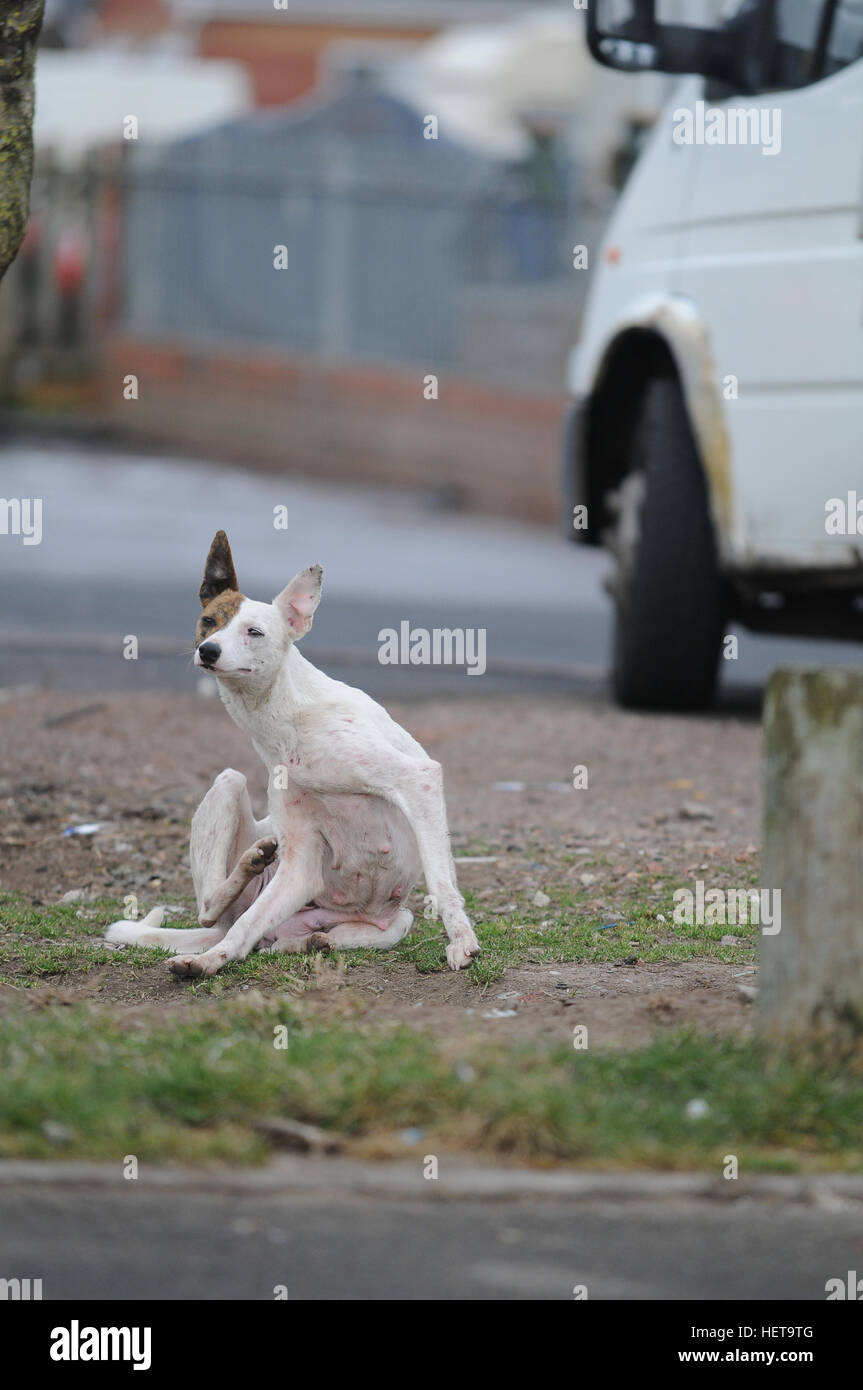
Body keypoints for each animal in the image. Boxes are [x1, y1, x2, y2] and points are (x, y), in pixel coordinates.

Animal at [104, 530, 480, 978]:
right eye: (210, 621)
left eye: (254, 632)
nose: (208, 651)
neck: (286, 716)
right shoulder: (300, 860)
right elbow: (244, 927)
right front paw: (213, 961)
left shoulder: (418, 778)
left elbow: (443, 883)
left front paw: (462, 941)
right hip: (232, 790)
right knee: (216, 912)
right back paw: (245, 884)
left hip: (395, 919)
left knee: (281, 931)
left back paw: (309, 941)